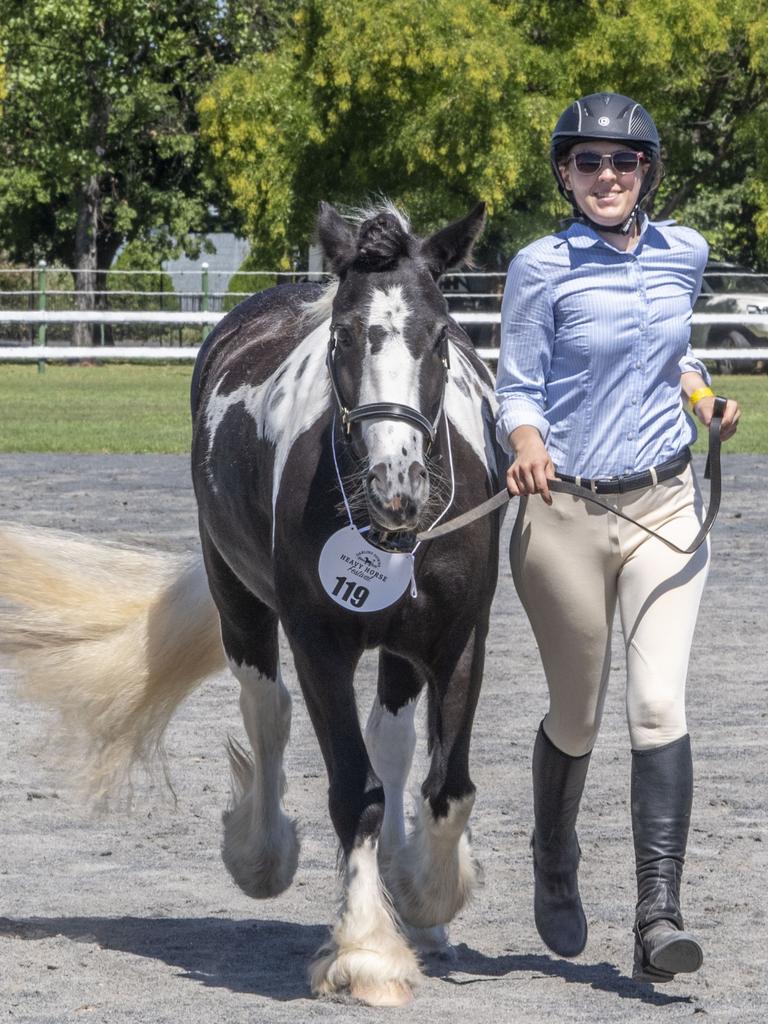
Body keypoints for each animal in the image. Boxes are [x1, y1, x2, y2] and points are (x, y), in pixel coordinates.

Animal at [1, 201, 505, 1007]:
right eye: (343, 336)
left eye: (441, 339)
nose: (397, 485)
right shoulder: (318, 642)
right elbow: (353, 790)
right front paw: (367, 949)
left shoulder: (457, 638)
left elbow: (445, 788)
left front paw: (424, 901)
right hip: (238, 600)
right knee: (267, 713)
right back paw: (262, 854)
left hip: (398, 646)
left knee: (393, 742)